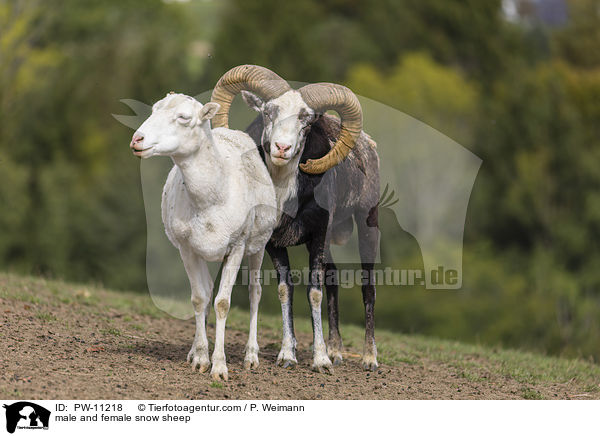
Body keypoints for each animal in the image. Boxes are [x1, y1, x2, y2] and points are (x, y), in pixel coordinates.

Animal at [131, 93, 276, 382]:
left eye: (183, 117)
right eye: (154, 110)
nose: (137, 140)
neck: (211, 200)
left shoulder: (237, 247)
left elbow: (223, 303)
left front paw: (219, 367)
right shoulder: (188, 249)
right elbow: (199, 298)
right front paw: (200, 359)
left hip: (257, 248)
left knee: (255, 293)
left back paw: (251, 356)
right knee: (207, 290)